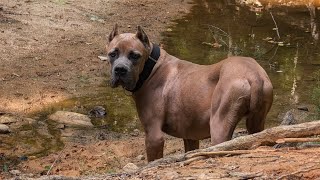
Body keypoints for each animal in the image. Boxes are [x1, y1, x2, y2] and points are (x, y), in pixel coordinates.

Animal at [104, 25, 272, 162]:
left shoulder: (153, 136)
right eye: (113, 54)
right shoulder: (190, 136)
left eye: (135, 55)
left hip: (219, 126)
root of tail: (253, 74)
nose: (120, 70)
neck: (151, 68)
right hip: (256, 124)